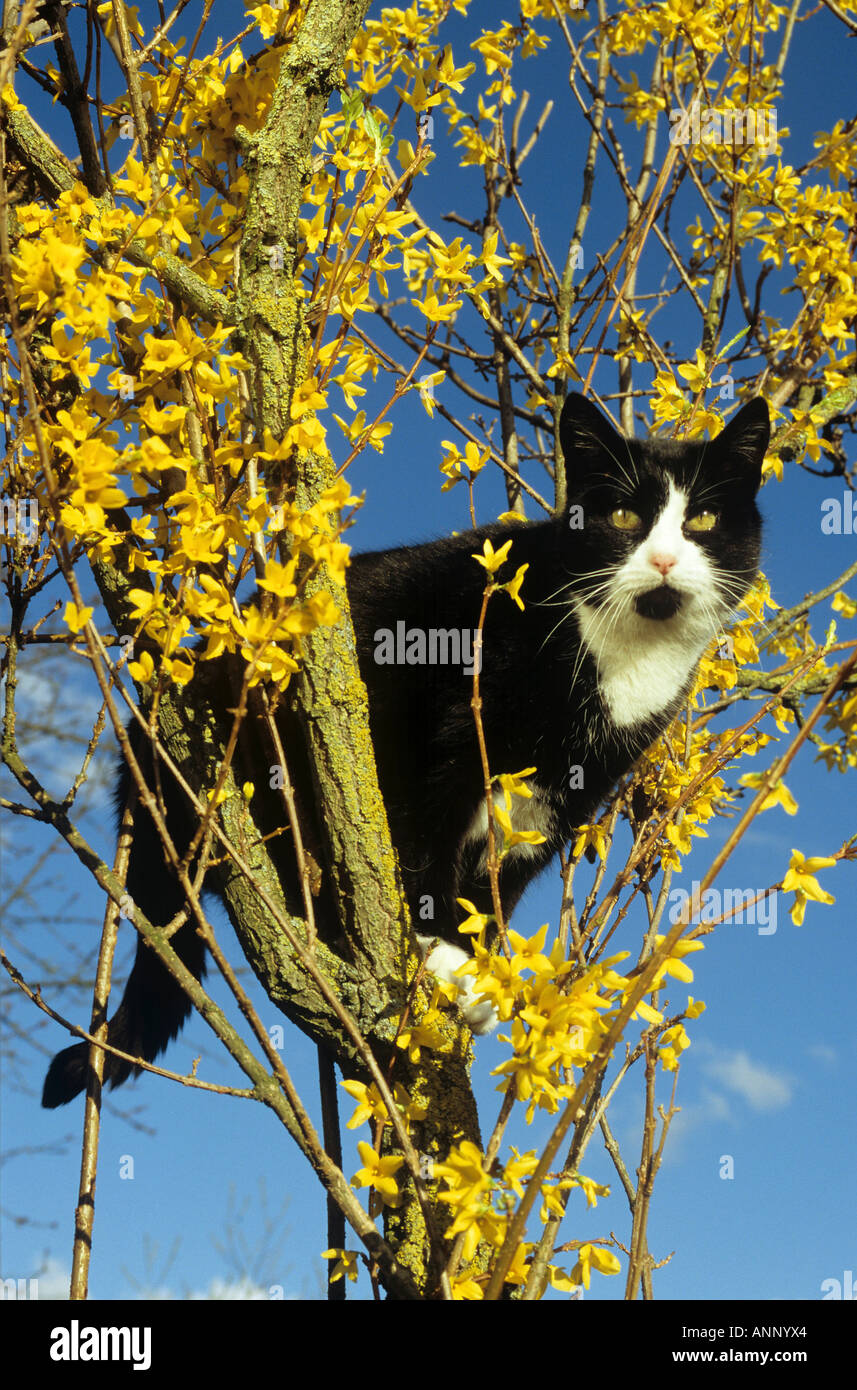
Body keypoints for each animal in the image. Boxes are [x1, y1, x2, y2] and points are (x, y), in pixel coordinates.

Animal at [40, 391, 766, 1106]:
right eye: (622, 515)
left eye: (702, 518)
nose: (664, 561)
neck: (623, 661)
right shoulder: (440, 728)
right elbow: (426, 828)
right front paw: (438, 947)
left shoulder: (563, 798)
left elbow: (502, 882)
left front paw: (476, 968)